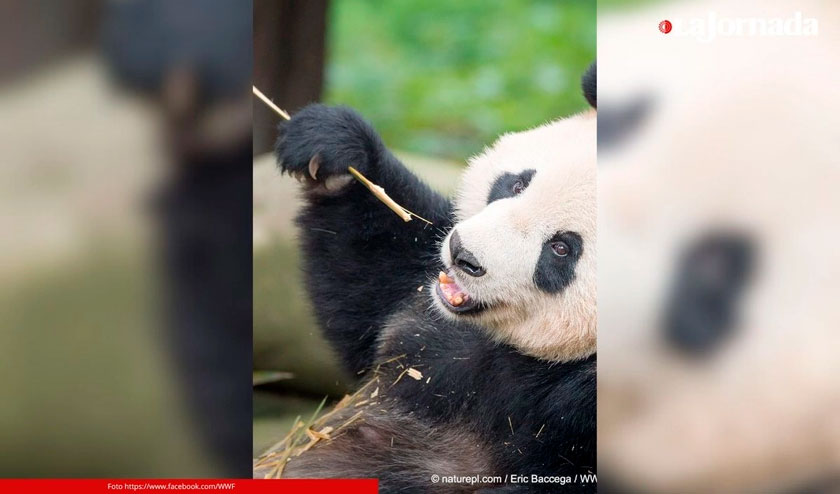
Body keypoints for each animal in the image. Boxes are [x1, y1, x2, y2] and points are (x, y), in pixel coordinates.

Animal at [269, 66, 597, 493]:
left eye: (561, 248)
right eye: (518, 183)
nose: (463, 256)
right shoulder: (421, 316)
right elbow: (373, 280)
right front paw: (332, 146)